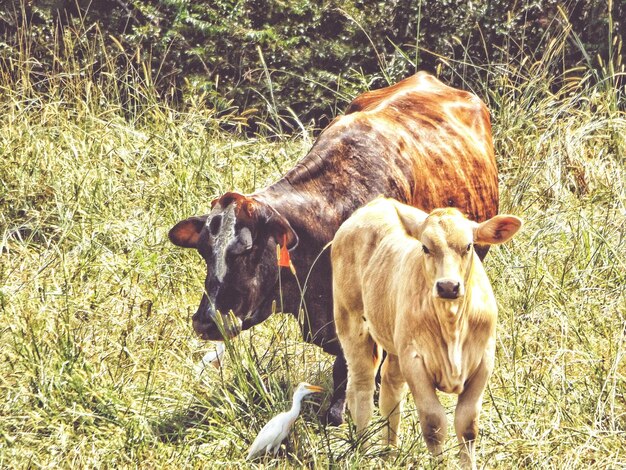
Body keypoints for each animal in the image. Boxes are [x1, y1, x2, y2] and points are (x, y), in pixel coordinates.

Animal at [332, 196, 520, 468]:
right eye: (425, 247)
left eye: (468, 246)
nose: (448, 286)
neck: (452, 323)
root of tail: (377, 203)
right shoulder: (415, 362)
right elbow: (434, 424)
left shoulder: (484, 360)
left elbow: (467, 425)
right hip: (350, 320)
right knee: (362, 387)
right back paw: (363, 449)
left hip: (395, 344)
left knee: (390, 389)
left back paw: (390, 451)